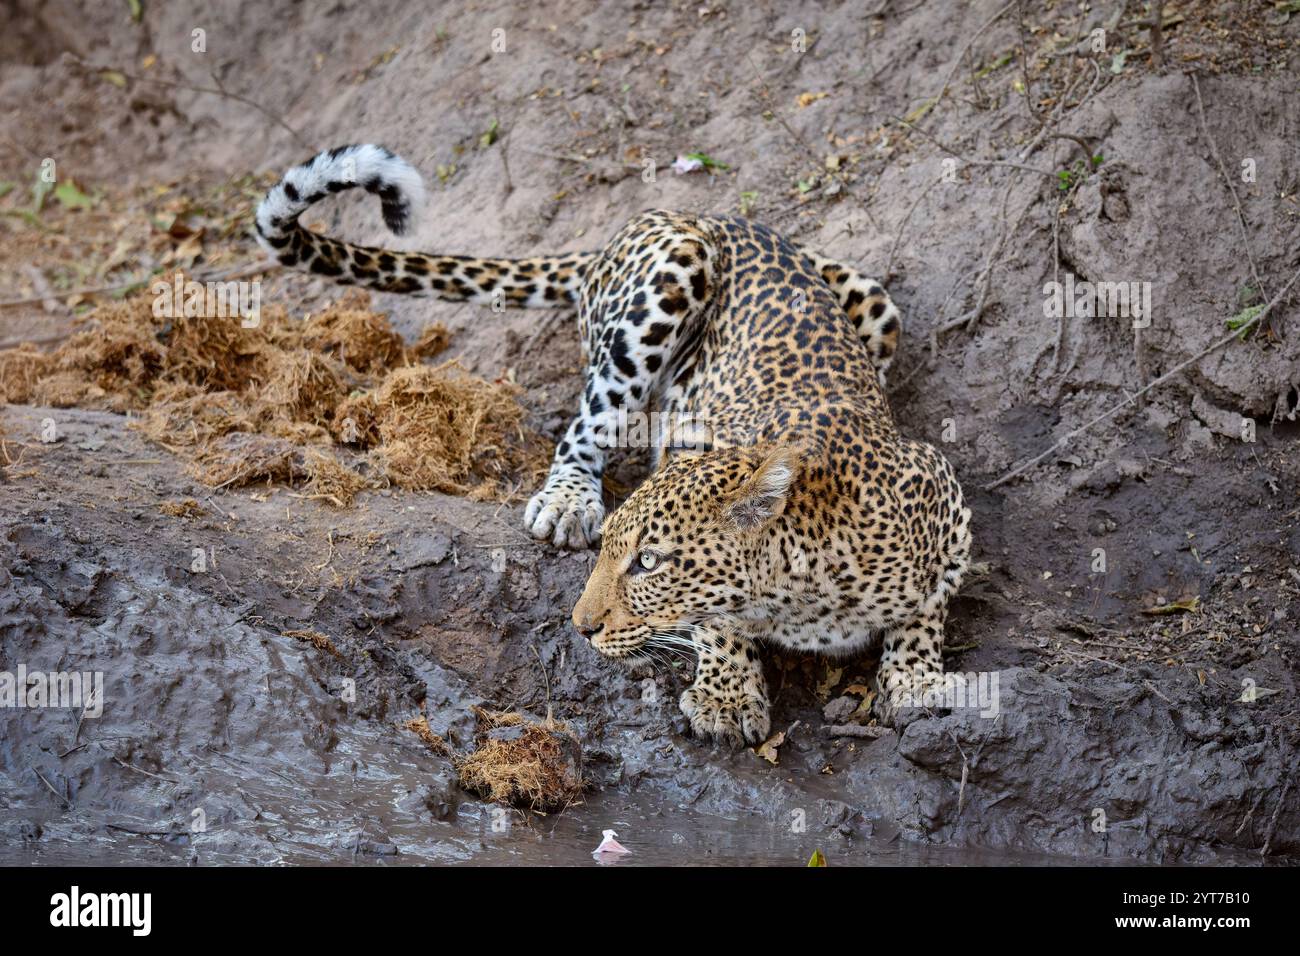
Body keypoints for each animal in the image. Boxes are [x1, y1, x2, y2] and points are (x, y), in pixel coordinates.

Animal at [255, 143, 972, 745]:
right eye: (615, 555)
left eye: (649, 563)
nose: (581, 626)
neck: (807, 592)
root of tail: (689, 212)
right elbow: (718, 624)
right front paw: (727, 698)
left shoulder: (944, 498)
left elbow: (927, 607)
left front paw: (915, 680)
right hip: (668, 281)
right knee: (587, 422)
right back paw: (568, 500)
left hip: (873, 300)